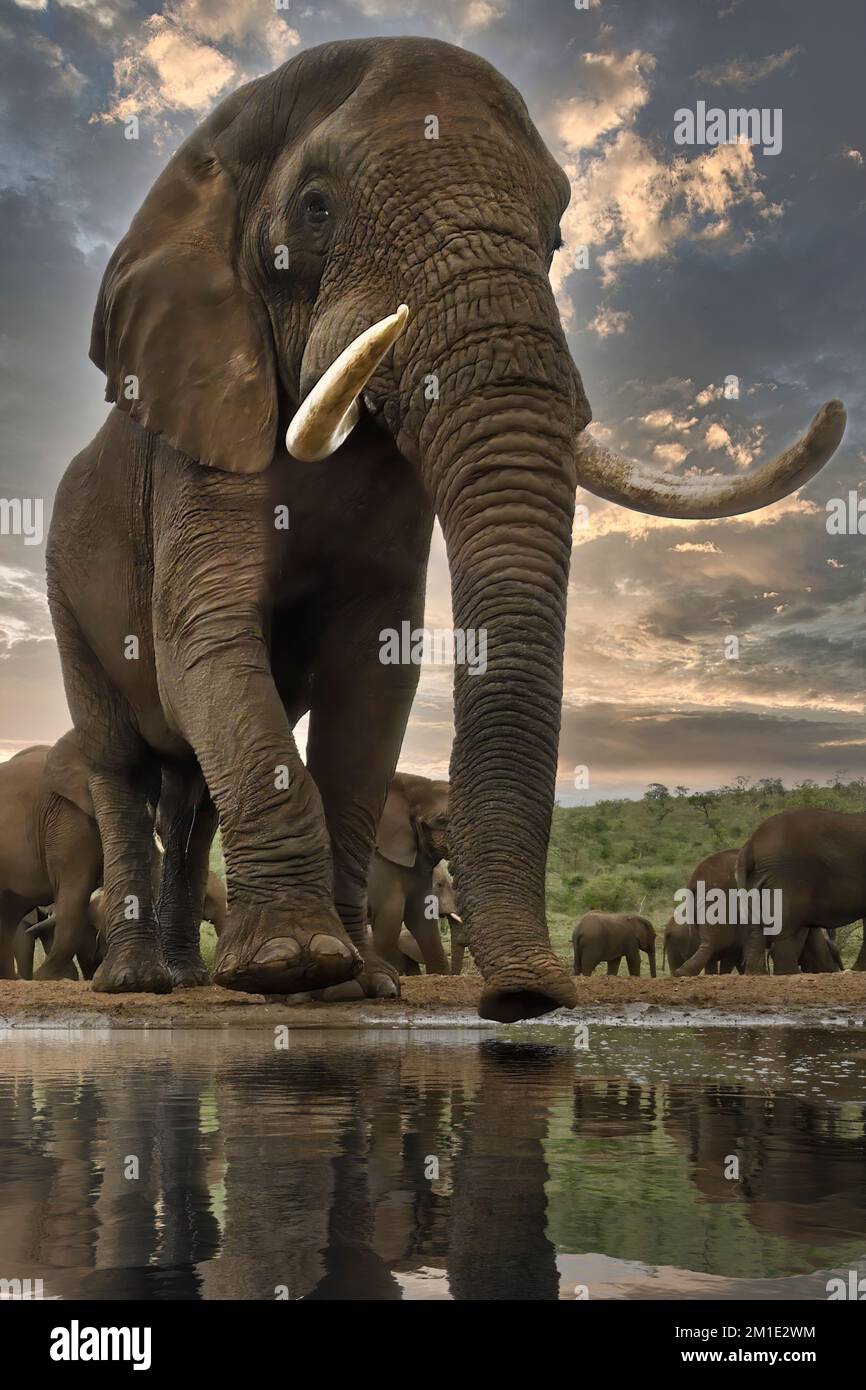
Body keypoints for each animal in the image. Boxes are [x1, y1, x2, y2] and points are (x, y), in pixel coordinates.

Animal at [45, 35, 845, 1023]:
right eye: (316, 208)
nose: (523, 998)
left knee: (191, 787)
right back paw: (141, 982)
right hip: (63, 589)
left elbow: (373, 675)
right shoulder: (198, 435)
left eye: (557, 236)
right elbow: (209, 637)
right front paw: (292, 967)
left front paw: (356, 982)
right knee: (121, 765)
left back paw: (194, 981)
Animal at [739, 811, 866, 973]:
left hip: (755, 880)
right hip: (785, 878)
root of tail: (750, 845)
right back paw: (790, 973)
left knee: (754, 930)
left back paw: (759, 974)